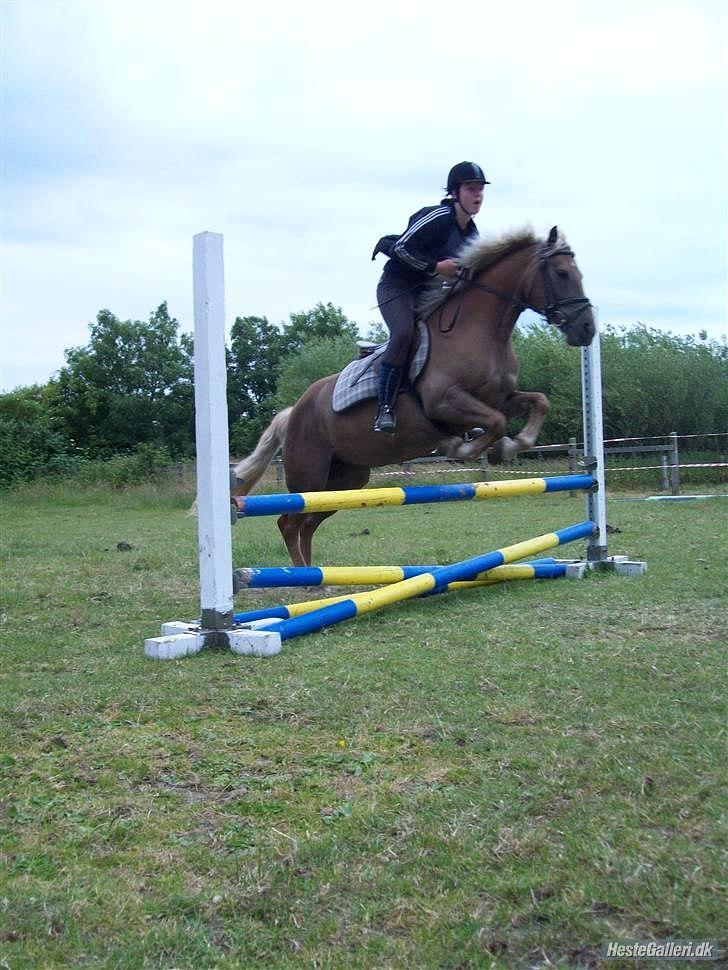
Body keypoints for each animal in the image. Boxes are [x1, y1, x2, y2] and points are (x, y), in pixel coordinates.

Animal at [233, 226, 592, 564]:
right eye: (562, 273)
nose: (587, 328)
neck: (479, 331)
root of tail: (293, 411)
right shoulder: (444, 401)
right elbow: (496, 421)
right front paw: (464, 448)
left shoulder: (500, 397)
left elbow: (537, 402)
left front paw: (512, 445)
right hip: (309, 475)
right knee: (289, 523)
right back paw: (305, 580)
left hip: (346, 480)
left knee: (306, 524)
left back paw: (317, 578)